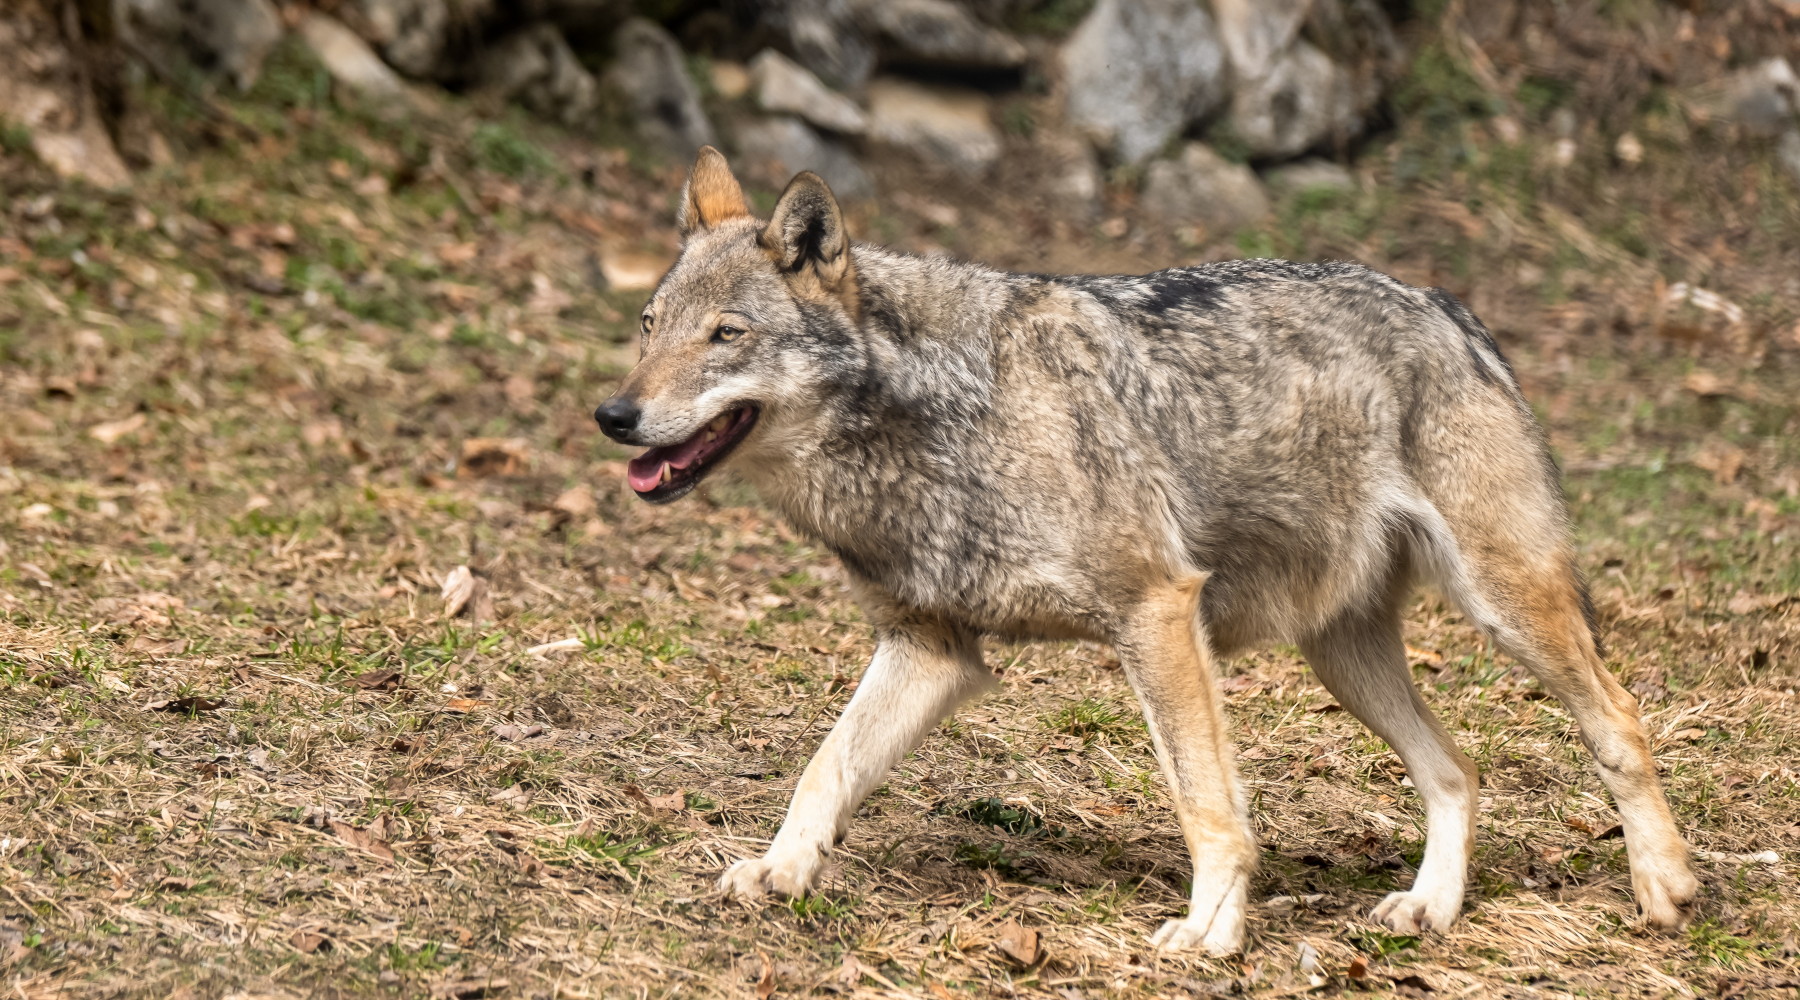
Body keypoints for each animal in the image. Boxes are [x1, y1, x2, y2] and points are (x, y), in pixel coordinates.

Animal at [592, 147, 1698, 954]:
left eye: (726, 335)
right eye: (647, 325)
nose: (614, 414)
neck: (938, 421)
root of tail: (1451, 308)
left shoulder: (1156, 612)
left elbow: (1207, 804)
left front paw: (1210, 933)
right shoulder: (930, 649)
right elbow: (822, 769)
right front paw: (778, 874)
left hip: (1503, 609)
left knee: (1620, 716)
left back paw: (1665, 884)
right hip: (1343, 656)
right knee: (1460, 768)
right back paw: (1429, 910)